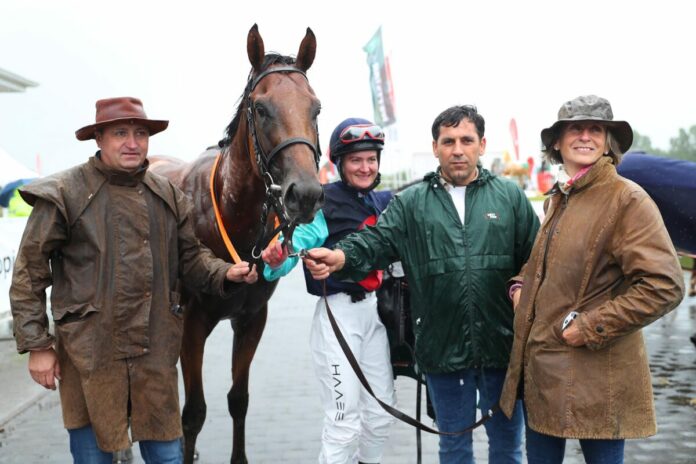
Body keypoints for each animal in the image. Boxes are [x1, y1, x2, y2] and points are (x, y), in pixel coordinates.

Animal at [150, 25, 324, 464]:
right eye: (261, 108)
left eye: (315, 108)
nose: (306, 194)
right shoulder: (192, 322)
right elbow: (194, 412)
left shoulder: (251, 318)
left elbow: (238, 399)